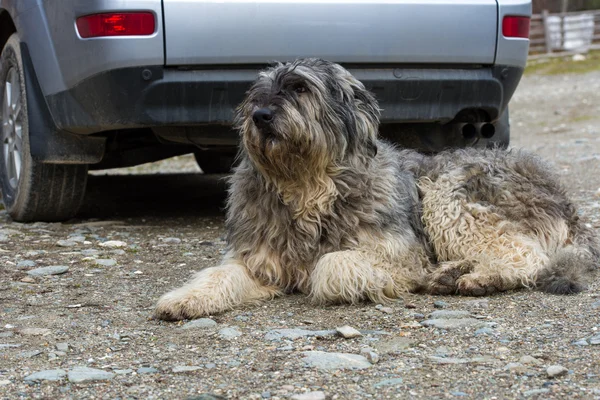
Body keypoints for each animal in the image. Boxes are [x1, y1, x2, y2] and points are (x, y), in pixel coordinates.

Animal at [156, 57, 600, 320]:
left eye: (301, 88)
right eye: (256, 94)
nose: (260, 116)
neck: (308, 186)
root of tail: (567, 203)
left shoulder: (401, 254)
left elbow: (332, 264)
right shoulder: (259, 255)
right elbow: (221, 273)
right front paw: (184, 298)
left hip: (447, 192)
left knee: (526, 255)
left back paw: (477, 278)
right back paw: (452, 272)